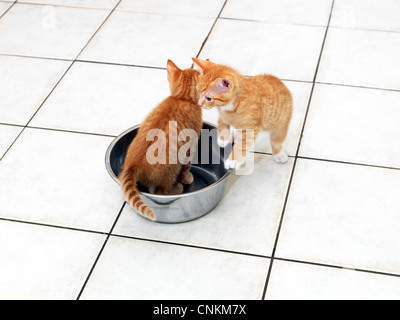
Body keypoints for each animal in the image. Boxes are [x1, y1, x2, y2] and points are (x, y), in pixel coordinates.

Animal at [118, 60, 200, 220]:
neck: (183, 99)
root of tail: (133, 164)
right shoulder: (190, 146)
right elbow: (186, 167)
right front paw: (186, 178)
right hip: (172, 168)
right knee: (160, 191)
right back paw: (177, 188)